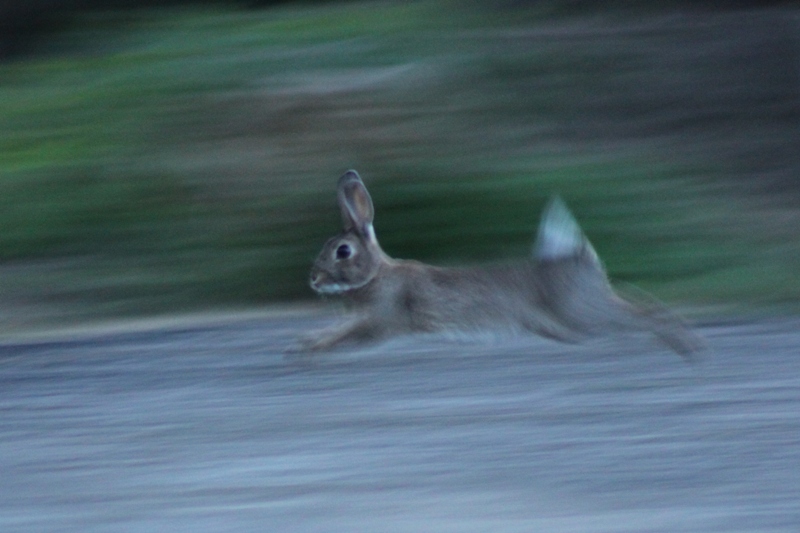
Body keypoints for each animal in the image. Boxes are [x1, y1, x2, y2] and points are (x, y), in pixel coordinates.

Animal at [296, 170, 705, 358]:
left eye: (343, 251)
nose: (313, 279)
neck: (376, 275)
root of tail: (580, 259)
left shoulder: (383, 320)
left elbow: (350, 336)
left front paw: (313, 350)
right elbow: (336, 329)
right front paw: (305, 342)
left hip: (583, 314)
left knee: (645, 312)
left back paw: (685, 345)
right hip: (572, 322)